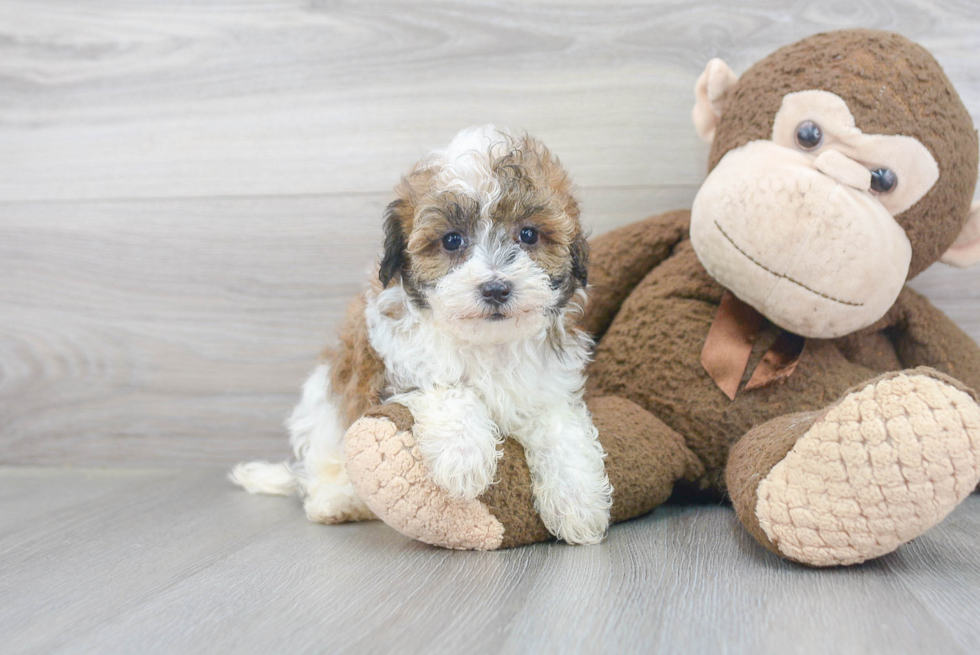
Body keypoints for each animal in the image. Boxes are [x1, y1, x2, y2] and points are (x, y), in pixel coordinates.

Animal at [232, 125, 612, 544]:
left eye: (528, 234)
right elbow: (446, 387)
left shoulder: (548, 386)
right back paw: (337, 502)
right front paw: (463, 456)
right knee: (325, 469)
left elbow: (560, 427)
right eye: (451, 240)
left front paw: (579, 502)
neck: (487, 342)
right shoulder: (391, 371)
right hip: (322, 409)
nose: (496, 289)